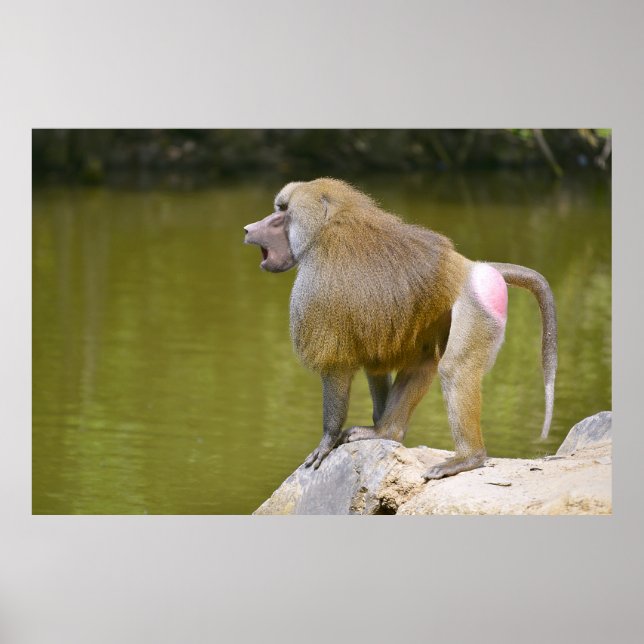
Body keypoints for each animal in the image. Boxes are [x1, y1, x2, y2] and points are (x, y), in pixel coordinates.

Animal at [243, 178, 557, 480]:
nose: (248, 229)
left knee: (454, 368)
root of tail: (472, 266)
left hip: (477, 305)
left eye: (282, 213)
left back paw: (468, 458)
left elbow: (336, 366)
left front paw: (327, 441)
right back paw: (386, 432)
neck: (327, 227)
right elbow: (375, 361)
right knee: (424, 362)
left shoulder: (316, 287)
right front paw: (377, 428)